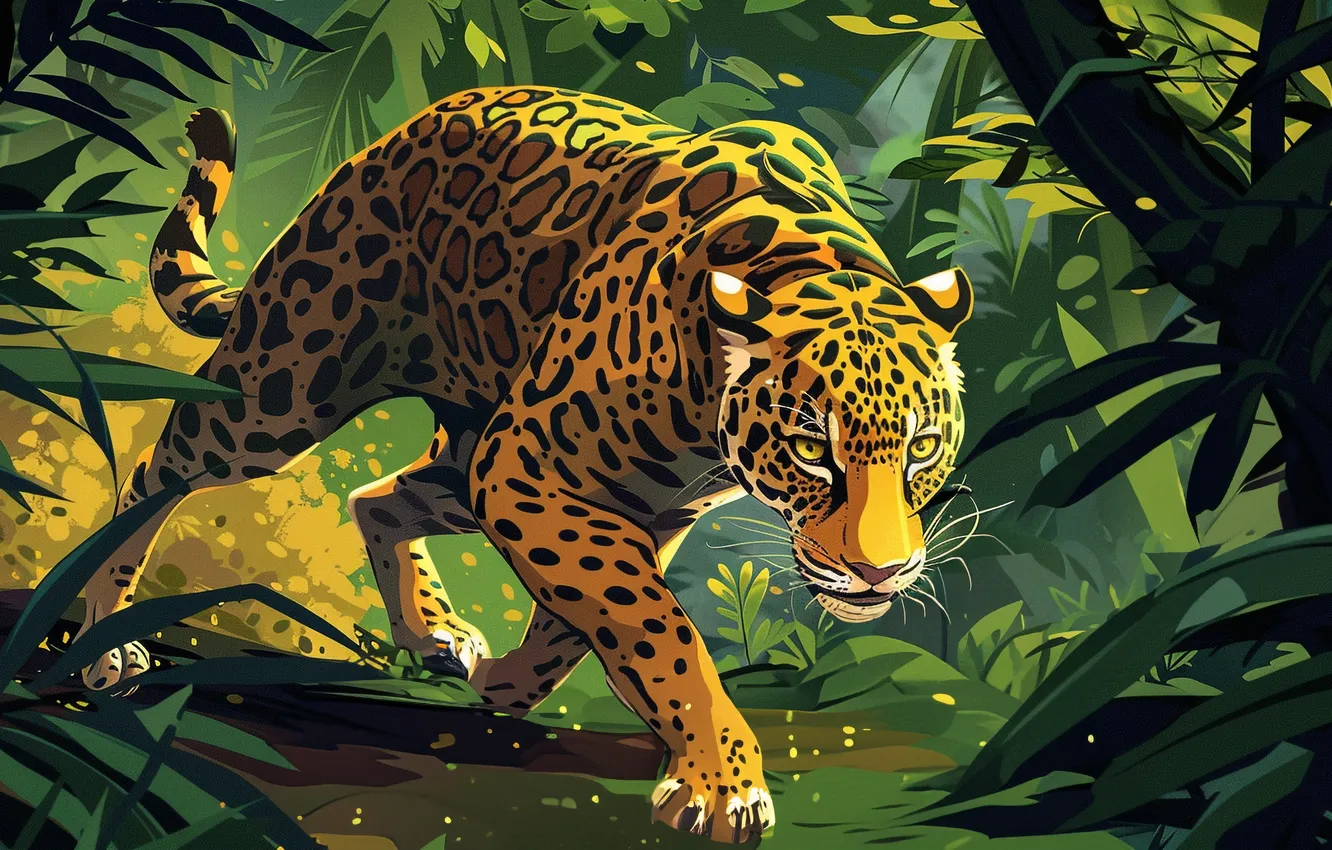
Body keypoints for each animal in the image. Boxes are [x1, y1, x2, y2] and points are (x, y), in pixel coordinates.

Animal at [70, 86, 973, 842]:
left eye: (923, 447)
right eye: (812, 450)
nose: (882, 572)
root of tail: (385, 145)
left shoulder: (638, 504)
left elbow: (581, 625)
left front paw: (505, 684)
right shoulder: (530, 469)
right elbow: (657, 628)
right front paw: (722, 782)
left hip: (467, 446)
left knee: (377, 496)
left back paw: (434, 632)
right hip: (288, 382)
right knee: (158, 468)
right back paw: (100, 638)